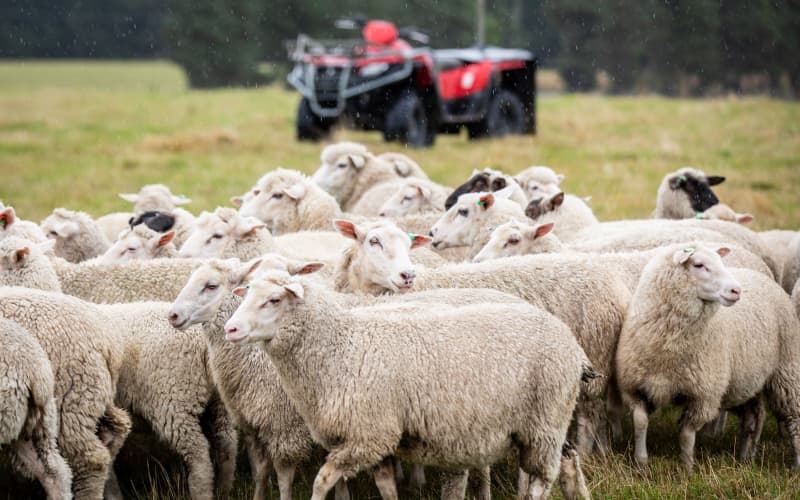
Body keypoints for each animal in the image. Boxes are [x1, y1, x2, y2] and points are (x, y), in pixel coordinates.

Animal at [223, 267, 593, 500]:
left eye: (274, 300)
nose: (231, 329)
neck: (340, 346)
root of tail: (573, 346)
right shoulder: (375, 441)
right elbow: (386, 487)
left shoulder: (368, 435)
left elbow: (322, 480)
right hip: (546, 422)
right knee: (569, 463)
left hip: (544, 421)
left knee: (542, 480)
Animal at [334, 218, 632, 456]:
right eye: (373, 241)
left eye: (409, 247)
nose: (408, 275)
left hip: (595, 354)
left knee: (590, 415)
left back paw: (587, 453)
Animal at [616, 243, 800, 469]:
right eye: (699, 265)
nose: (736, 290)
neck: (669, 351)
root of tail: (762, 276)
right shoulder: (635, 388)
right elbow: (640, 424)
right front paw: (641, 463)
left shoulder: (703, 396)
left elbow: (686, 436)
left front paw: (687, 468)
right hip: (747, 380)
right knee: (754, 417)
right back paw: (745, 458)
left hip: (787, 371)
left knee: (794, 420)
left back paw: (794, 464)